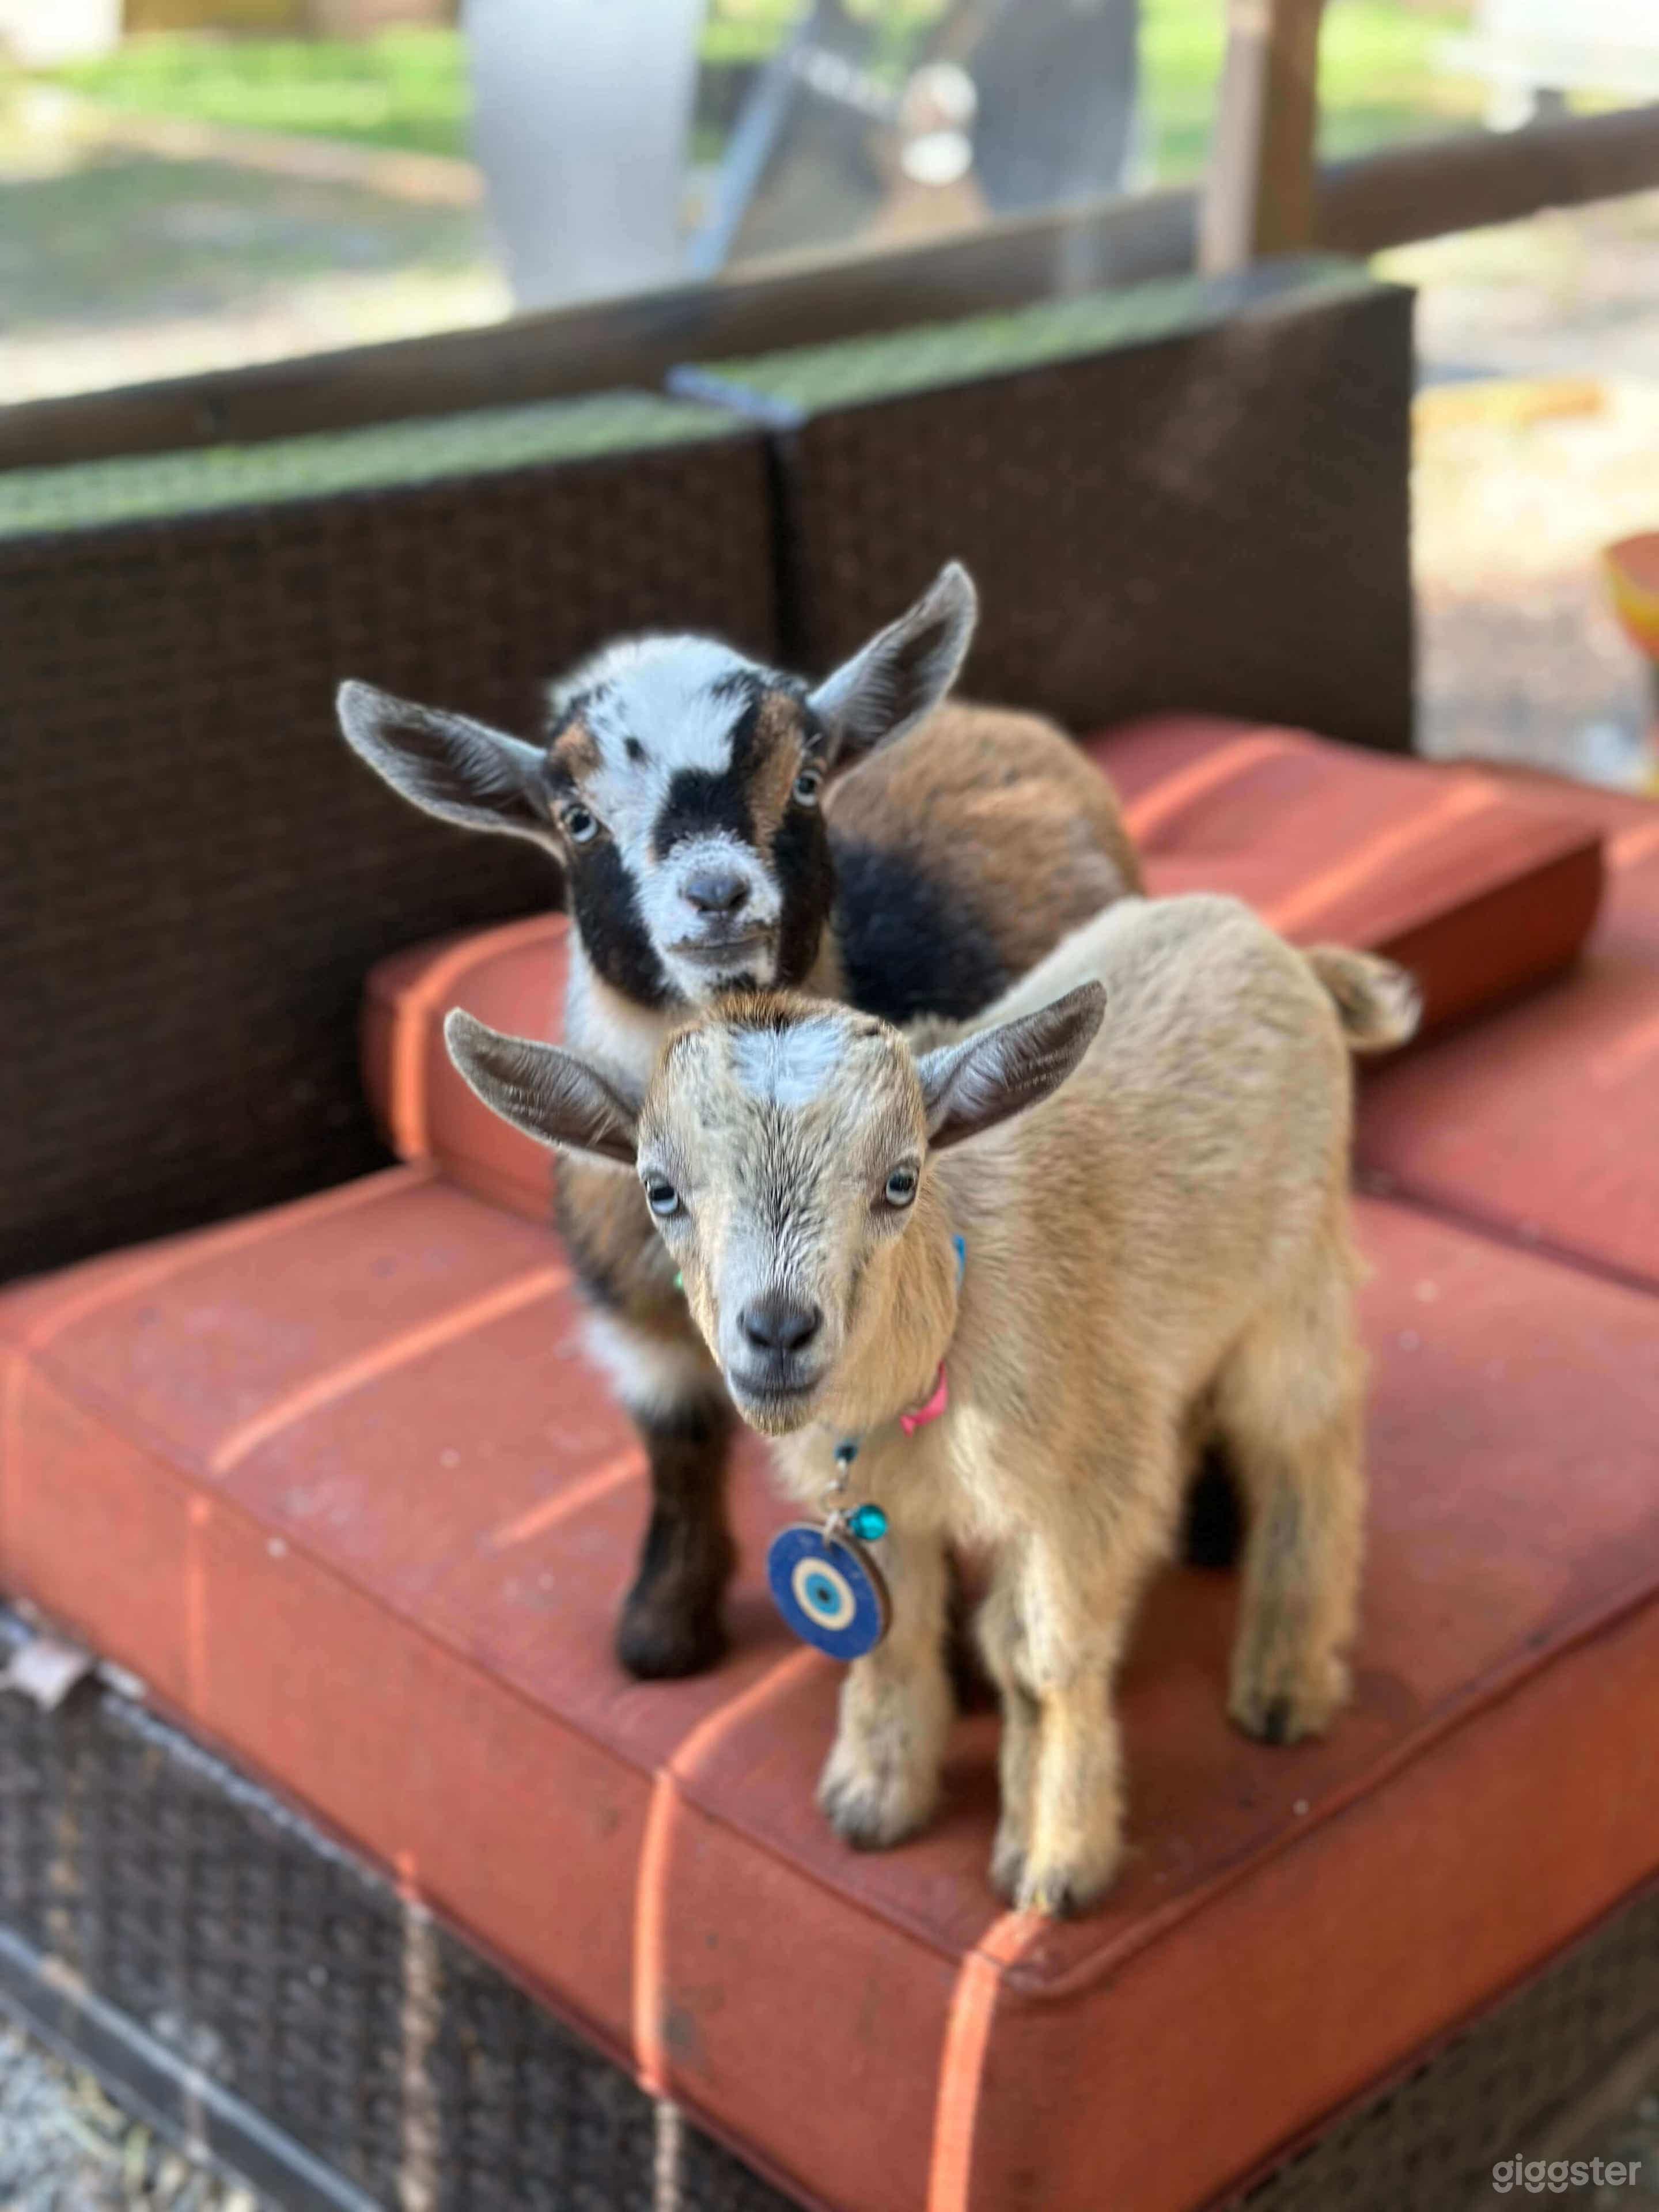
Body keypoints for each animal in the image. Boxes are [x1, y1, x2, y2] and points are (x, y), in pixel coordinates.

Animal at [337, 564, 1140, 1681]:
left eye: (806, 779)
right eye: (574, 816)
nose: (716, 894)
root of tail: (996, 717)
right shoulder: (637, 1329)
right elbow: (673, 1451)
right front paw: (662, 1630)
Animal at [444, 894, 1420, 1914]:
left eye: (901, 1179)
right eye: (659, 1190)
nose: (778, 1331)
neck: (942, 1332)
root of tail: (1279, 946)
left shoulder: (1083, 1492)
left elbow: (1042, 1659)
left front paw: (1056, 1861)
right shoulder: (884, 1510)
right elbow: (891, 1633)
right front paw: (874, 1800)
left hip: (1295, 1285)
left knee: (1311, 1447)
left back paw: (1286, 1682)